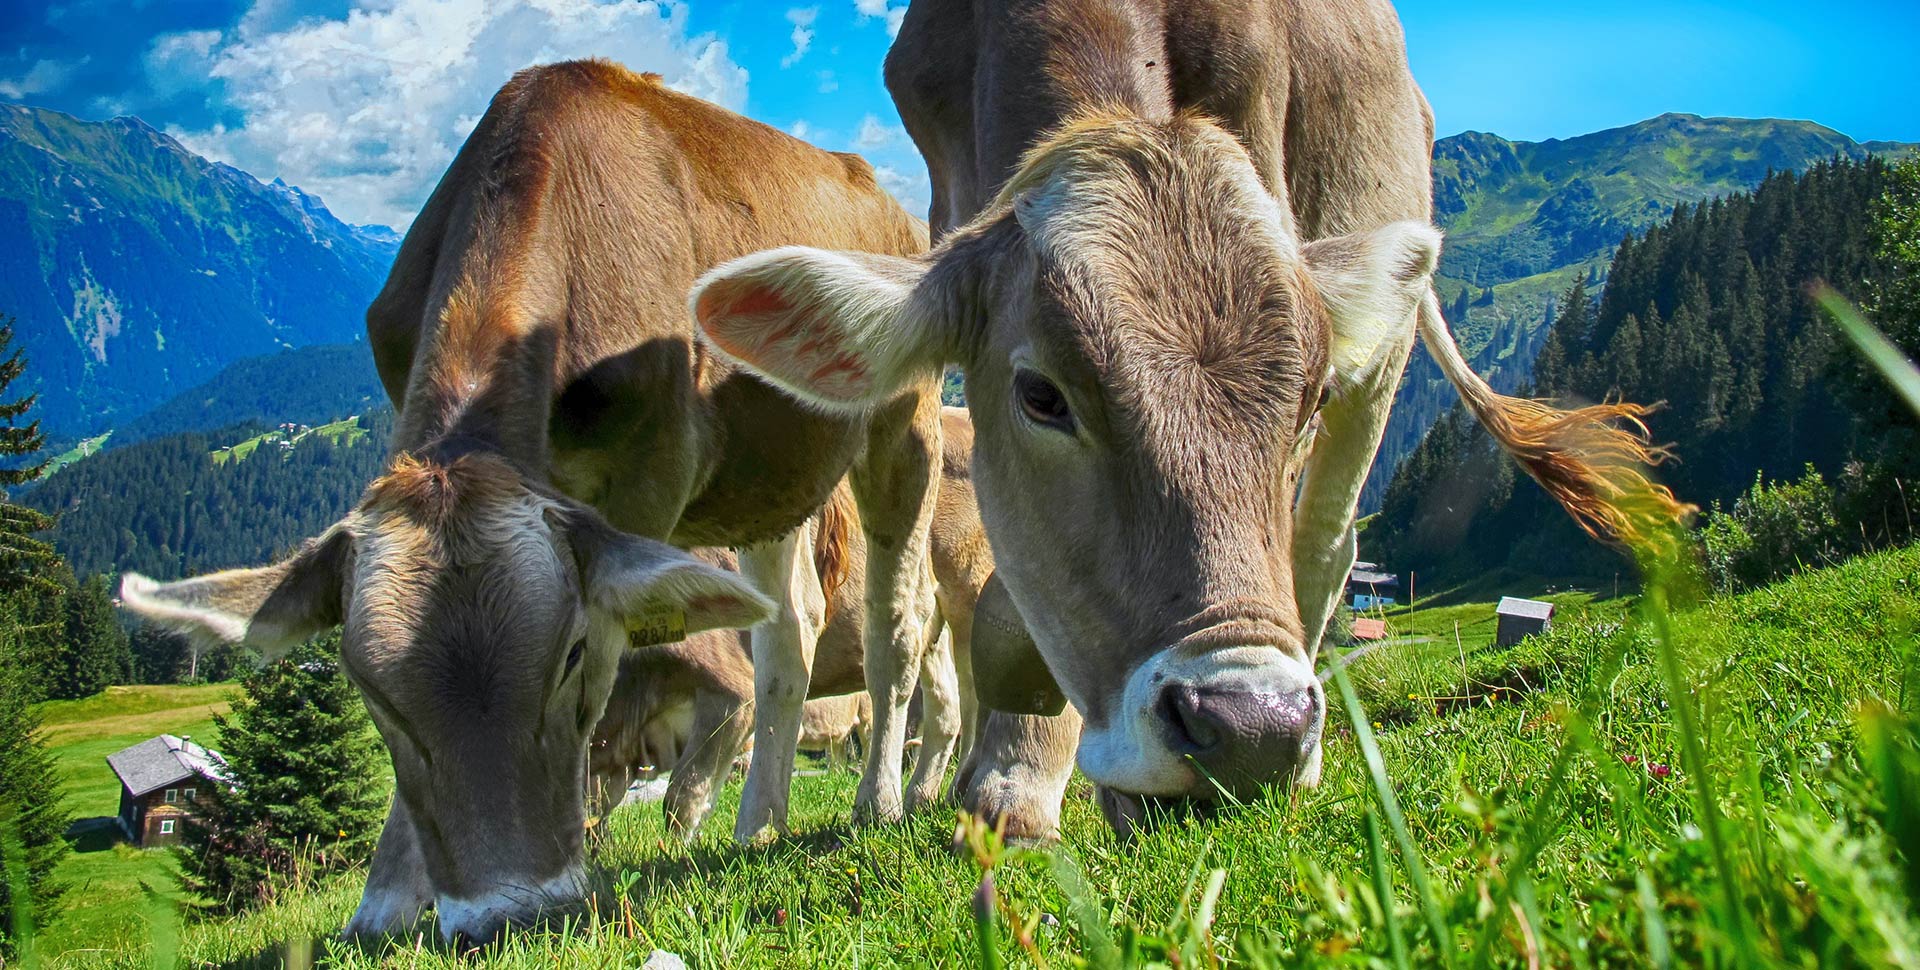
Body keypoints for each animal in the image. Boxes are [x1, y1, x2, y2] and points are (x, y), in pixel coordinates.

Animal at [112, 58, 936, 937]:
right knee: (790, 628)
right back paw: (760, 823)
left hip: (904, 424)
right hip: (767, 477)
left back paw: (880, 802)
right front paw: (387, 902)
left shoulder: (648, 481)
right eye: (370, 691)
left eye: (570, 653)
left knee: (898, 621)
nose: (508, 915)